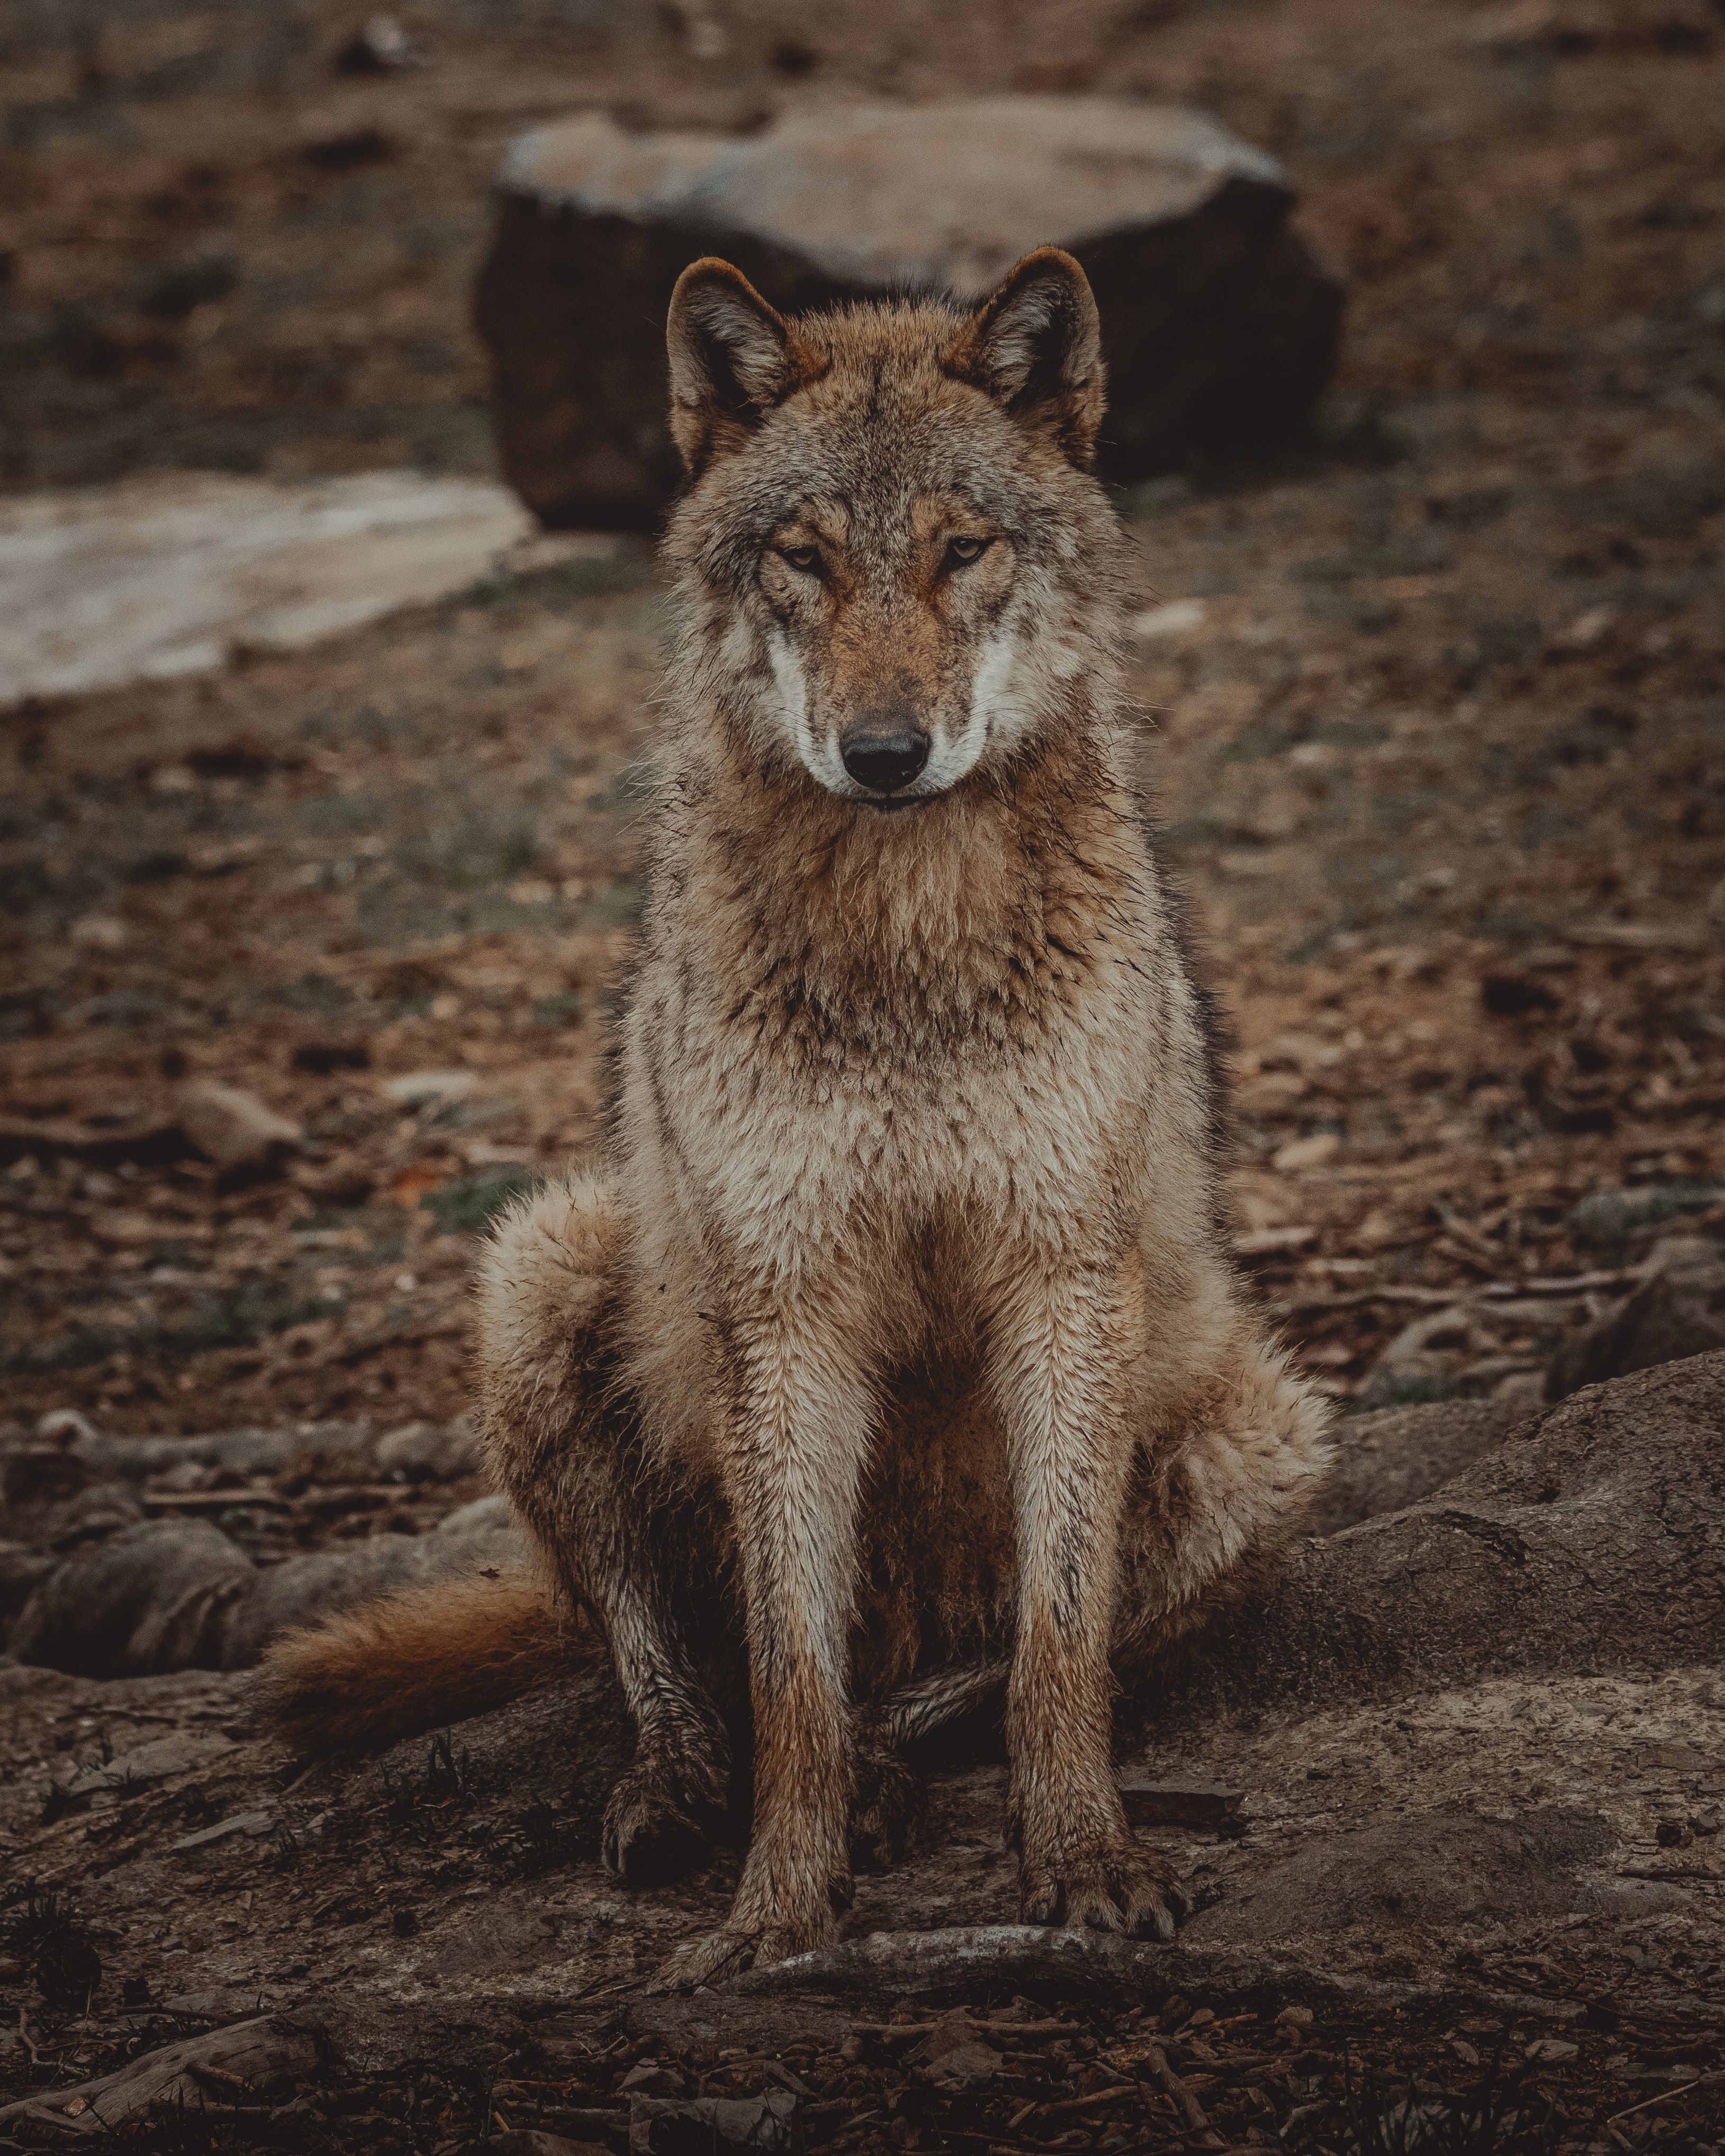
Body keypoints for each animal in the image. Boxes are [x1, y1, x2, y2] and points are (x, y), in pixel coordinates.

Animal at [263, 244, 1328, 1974]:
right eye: (805, 559)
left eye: (961, 549)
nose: (884, 753)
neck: (904, 936)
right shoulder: (788, 1300)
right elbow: (787, 1677)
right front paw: (776, 1910)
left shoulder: (1060, 1277)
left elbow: (1058, 1646)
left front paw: (1083, 1860)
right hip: (544, 1264)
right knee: (667, 1654)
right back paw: (684, 1795)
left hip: (1268, 1430)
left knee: (966, 1671)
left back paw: (902, 1776)